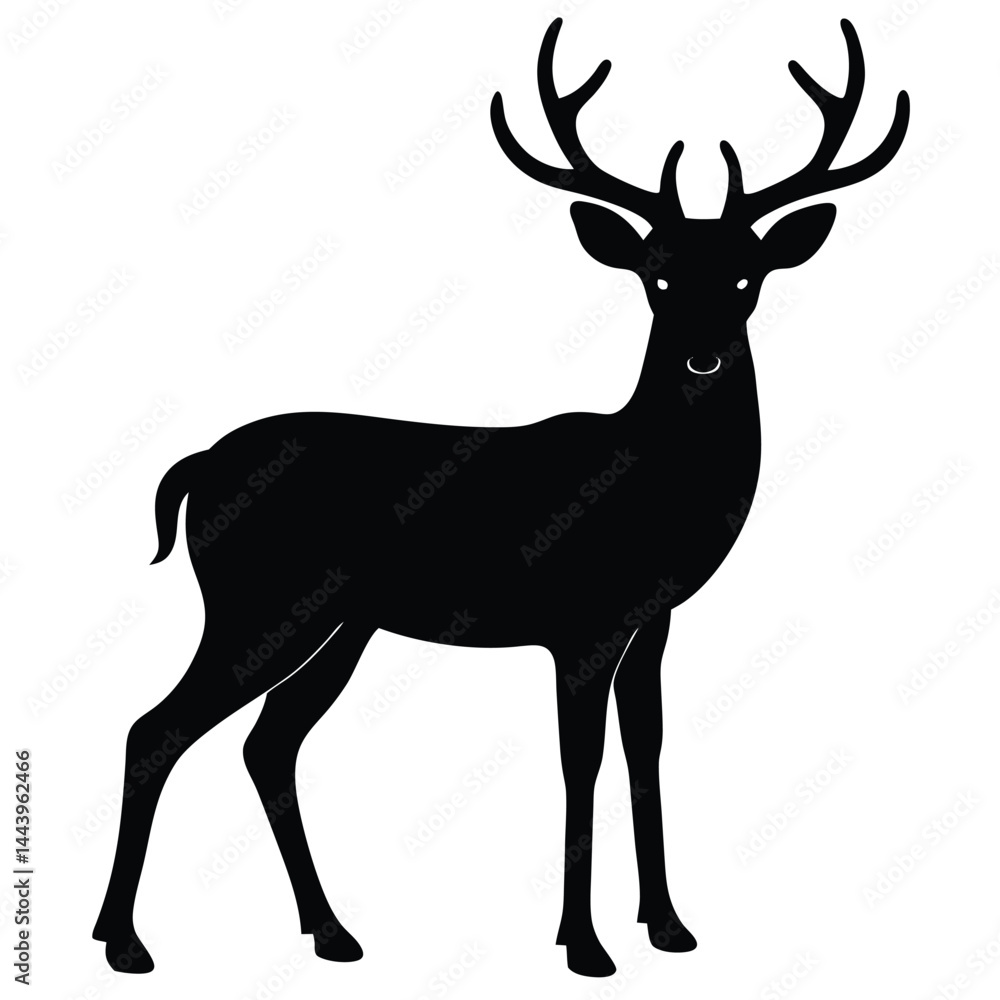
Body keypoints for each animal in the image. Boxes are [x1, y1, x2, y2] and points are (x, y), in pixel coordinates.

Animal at [92, 16, 908, 979]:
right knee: (157, 728)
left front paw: (669, 926)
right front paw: (585, 945)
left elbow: (646, 750)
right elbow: (579, 762)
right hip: (257, 600)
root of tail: (195, 467)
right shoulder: (580, 621)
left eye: (748, 276)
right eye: (657, 275)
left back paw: (330, 931)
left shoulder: (652, 620)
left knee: (267, 743)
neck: (654, 486)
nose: (703, 355)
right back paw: (125, 942)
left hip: (341, 619)